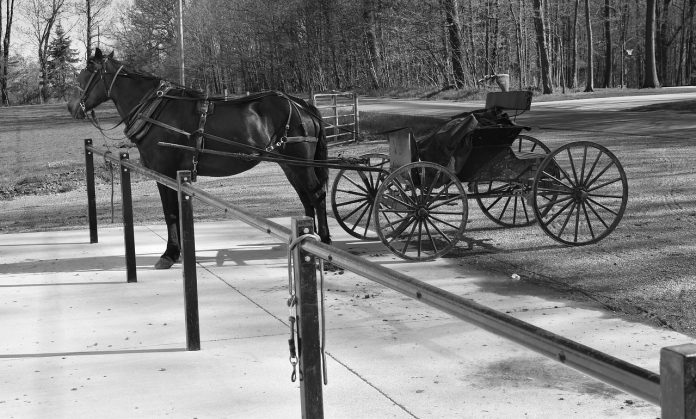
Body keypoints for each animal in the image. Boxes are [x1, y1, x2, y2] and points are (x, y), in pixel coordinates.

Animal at [68, 49, 330, 269]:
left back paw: (325, 246)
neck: (156, 109)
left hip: (300, 164)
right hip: (291, 166)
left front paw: (169, 254)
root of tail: (301, 104)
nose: (71, 107)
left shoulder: (164, 171)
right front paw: (178, 252)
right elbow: (175, 212)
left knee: (317, 195)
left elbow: (170, 213)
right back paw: (311, 240)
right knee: (306, 198)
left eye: (88, 72)